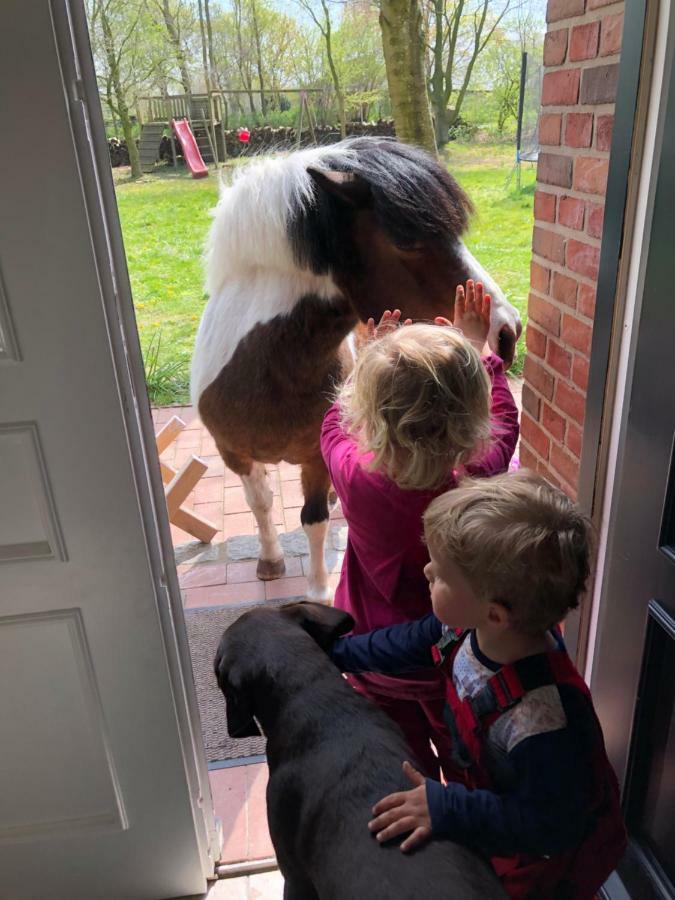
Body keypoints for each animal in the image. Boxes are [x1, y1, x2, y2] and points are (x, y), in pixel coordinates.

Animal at [190, 139, 524, 596]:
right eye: (408, 243)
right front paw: (271, 559)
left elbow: (313, 520)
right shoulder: (233, 453)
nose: (508, 331)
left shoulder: (316, 457)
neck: (267, 375)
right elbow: (259, 502)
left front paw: (317, 591)